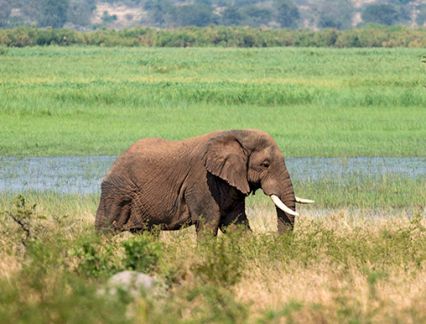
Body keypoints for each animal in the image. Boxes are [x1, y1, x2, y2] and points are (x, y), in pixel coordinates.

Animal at [95, 129, 312, 238]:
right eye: (265, 164)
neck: (236, 136)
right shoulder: (201, 181)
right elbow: (209, 222)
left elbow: (236, 223)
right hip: (116, 193)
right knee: (104, 230)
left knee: (147, 234)